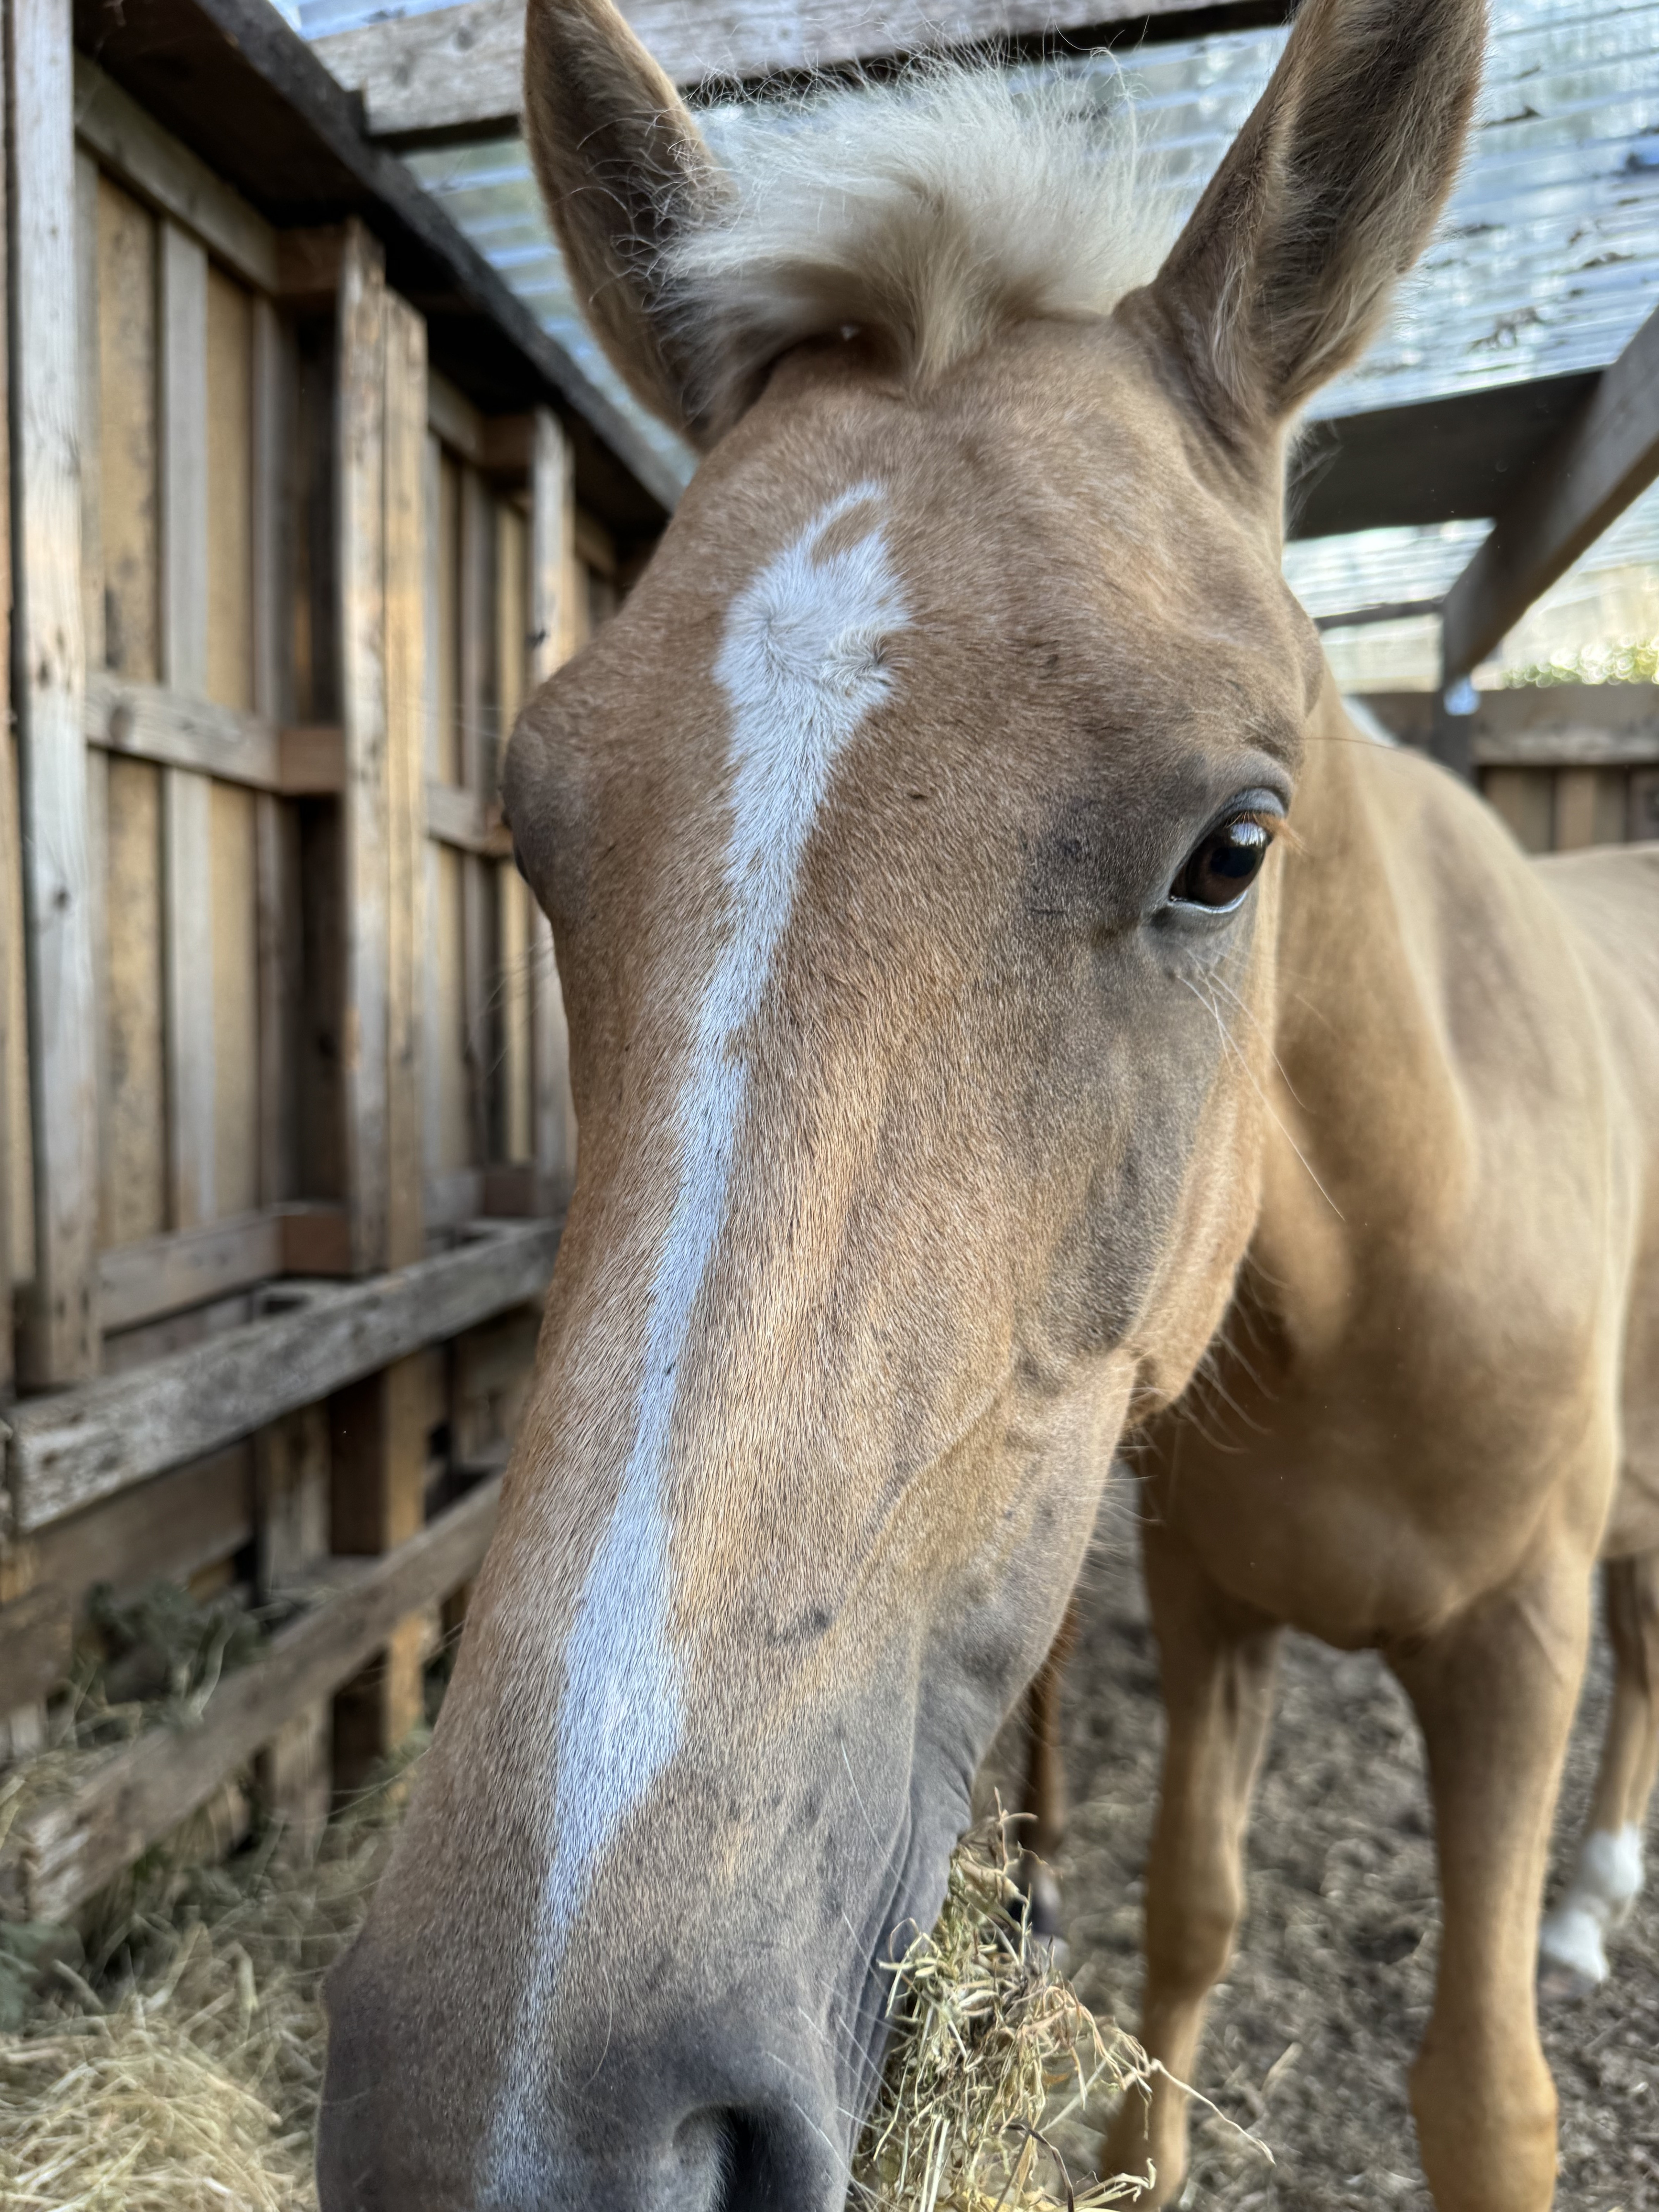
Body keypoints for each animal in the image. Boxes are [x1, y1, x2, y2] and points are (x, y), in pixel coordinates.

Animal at [316, 0, 1659, 2205]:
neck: (1388, 1258)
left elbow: (1483, 2090)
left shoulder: (1508, 1645)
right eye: (537, 832)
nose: (506, 2126)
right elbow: (1189, 1908)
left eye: (1231, 846)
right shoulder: (1208, 1603)